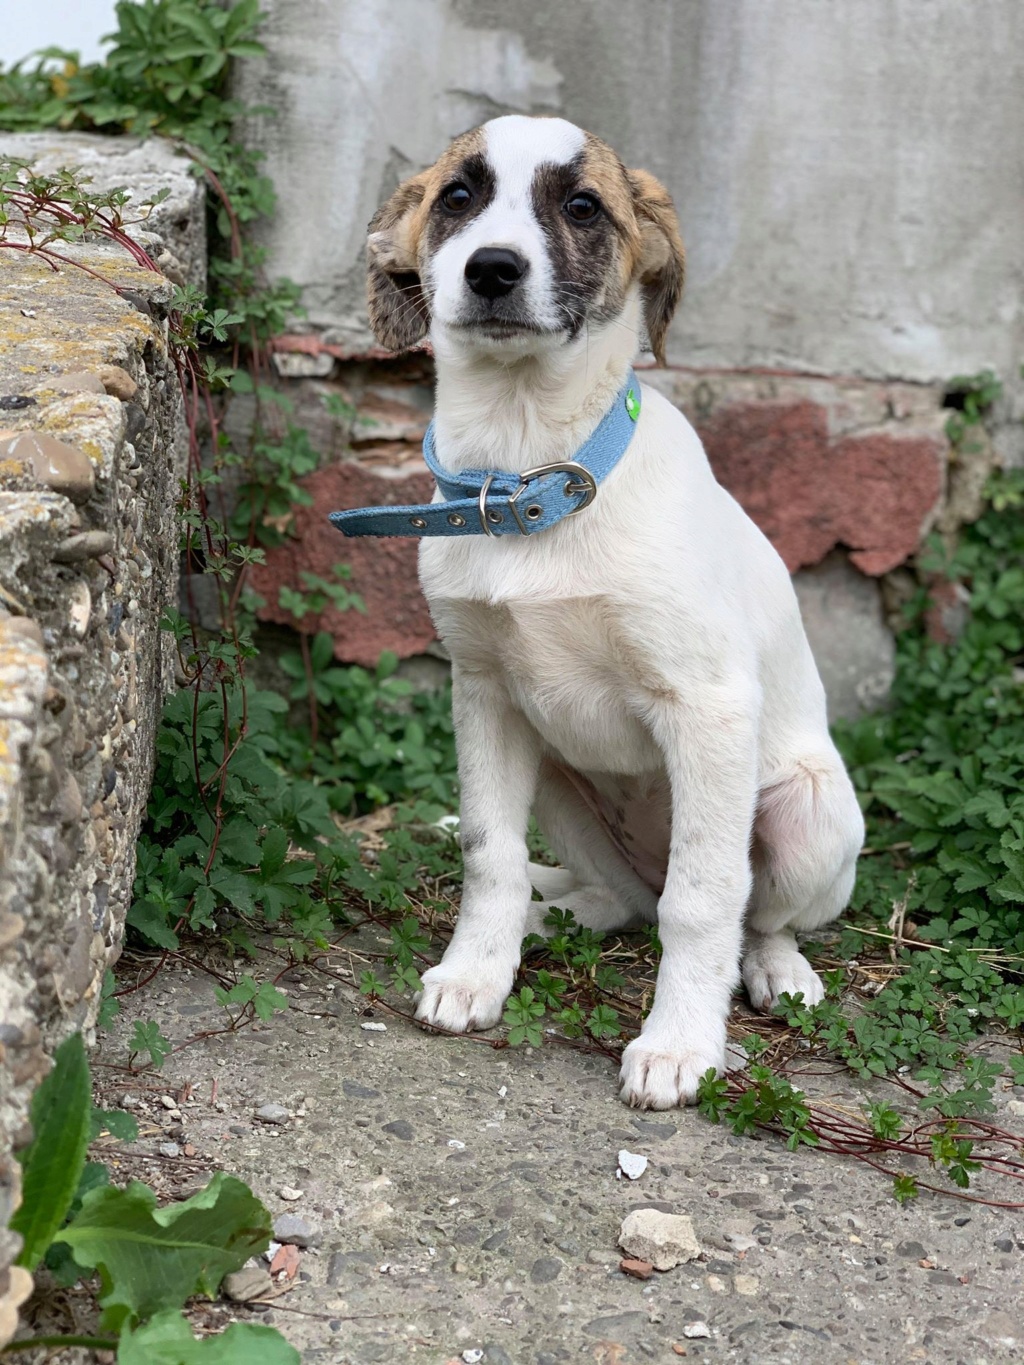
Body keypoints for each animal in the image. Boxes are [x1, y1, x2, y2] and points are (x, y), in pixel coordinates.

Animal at [352, 111, 868, 1102]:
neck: (527, 471)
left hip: (814, 814)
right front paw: (476, 971)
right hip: (560, 778)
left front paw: (679, 1044)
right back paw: (552, 914)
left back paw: (774, 969)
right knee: (623, 901)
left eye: (584, 206)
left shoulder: (708, 707)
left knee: (751, 913)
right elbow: (489, 853)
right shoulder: (484, 692)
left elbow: (704, 900)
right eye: (458, 197)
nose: (493, 269)